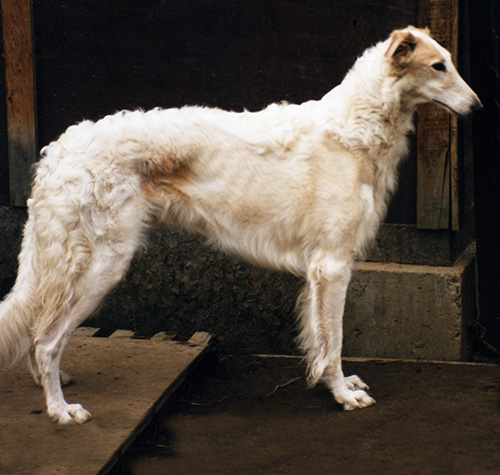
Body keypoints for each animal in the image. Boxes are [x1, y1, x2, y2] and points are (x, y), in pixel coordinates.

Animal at [0, 27, 481, 424]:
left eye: (450, 61)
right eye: (438, 66)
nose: (477, 107)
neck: (355, 126)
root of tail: (59, 149)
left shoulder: (320, 271)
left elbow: (319, 341)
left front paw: (337, 385)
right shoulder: (332, 266)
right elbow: (334, 342)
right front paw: (343, 395)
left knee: (38, 332)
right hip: (103, 265)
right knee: (45, 340)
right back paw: (61, 410)